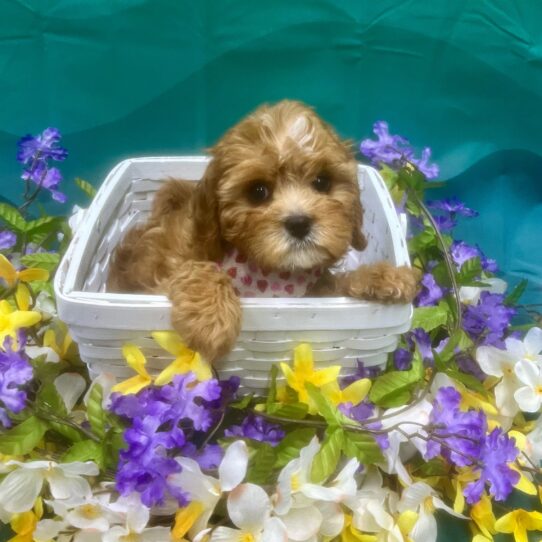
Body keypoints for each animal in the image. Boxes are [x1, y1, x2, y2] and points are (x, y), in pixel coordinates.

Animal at [107, 102, 420, 366]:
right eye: (258, 192)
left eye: (322, 182)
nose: (299, 223)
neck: (271, 273)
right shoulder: (155, 282)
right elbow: (198, 269)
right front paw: (212, 318)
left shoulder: (313, 292)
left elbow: (341, 282)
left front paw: (387, 276)